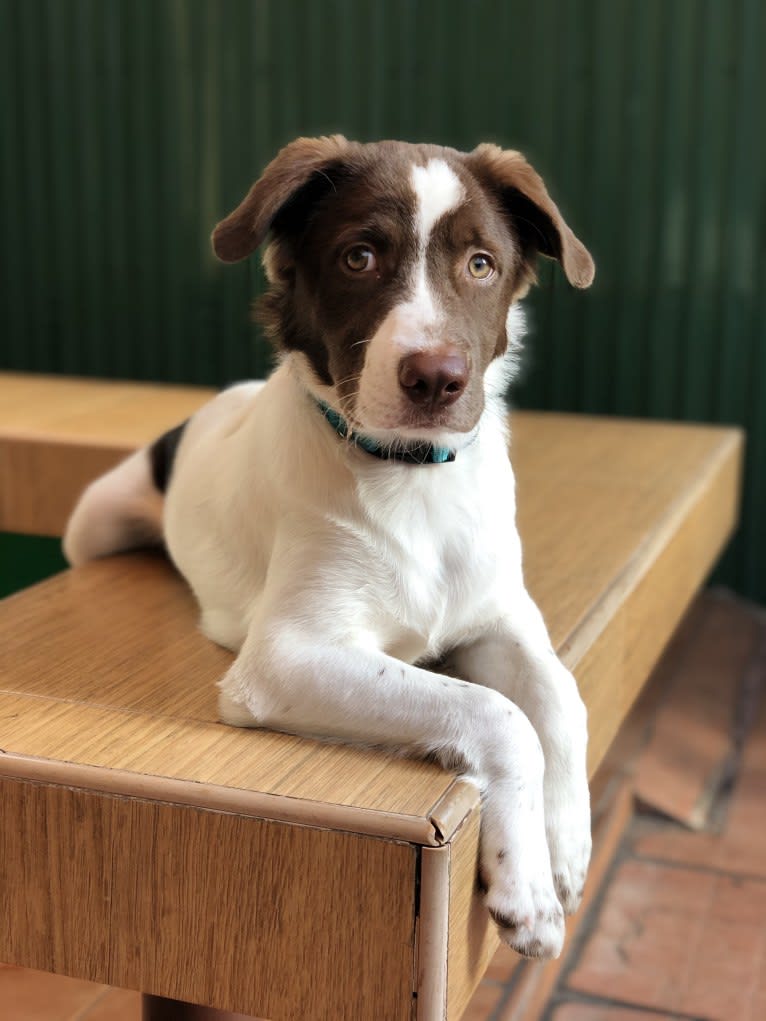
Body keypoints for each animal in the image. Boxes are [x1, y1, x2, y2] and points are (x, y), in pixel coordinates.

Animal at [64, 135, 592, 955]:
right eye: (359, 257)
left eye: (481, 263)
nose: (436, 379)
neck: (413, 478)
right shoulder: (285, 657)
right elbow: (499, 714)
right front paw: (527, 887)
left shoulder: (499, 618)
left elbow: (560, 697)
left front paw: (563, 848)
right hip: (91, 527)